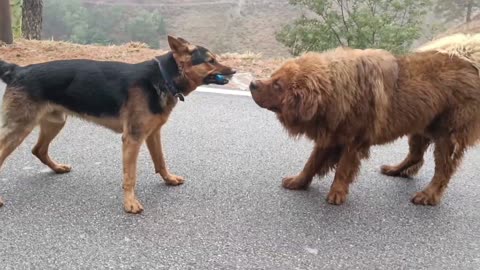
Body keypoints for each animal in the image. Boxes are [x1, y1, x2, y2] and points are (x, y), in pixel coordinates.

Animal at [0, 35, 236, 213]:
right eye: (210, 60)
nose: (234, 70)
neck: (163, 77)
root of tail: (18, 70)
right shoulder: (132, 139)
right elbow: (130, 176)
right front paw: (130, 203)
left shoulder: (153, 134)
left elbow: (160, 161)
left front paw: (168, 179)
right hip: (19, 128)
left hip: (55, 123)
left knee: (38, 149)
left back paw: (57, 168)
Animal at [249, 47, 480, 206]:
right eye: (273, 76)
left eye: (278, 85)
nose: (252, 84)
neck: (336, 92)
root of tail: (471, 65)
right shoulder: (330, 136)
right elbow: (312, 163)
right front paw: (298, 182)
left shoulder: (353, 140)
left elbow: (343, 168)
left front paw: (337, 193)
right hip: (420, 127)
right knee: (416, 156)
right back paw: (395, 170)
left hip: (447, 136)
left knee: (443, 170)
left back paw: (428, 195)